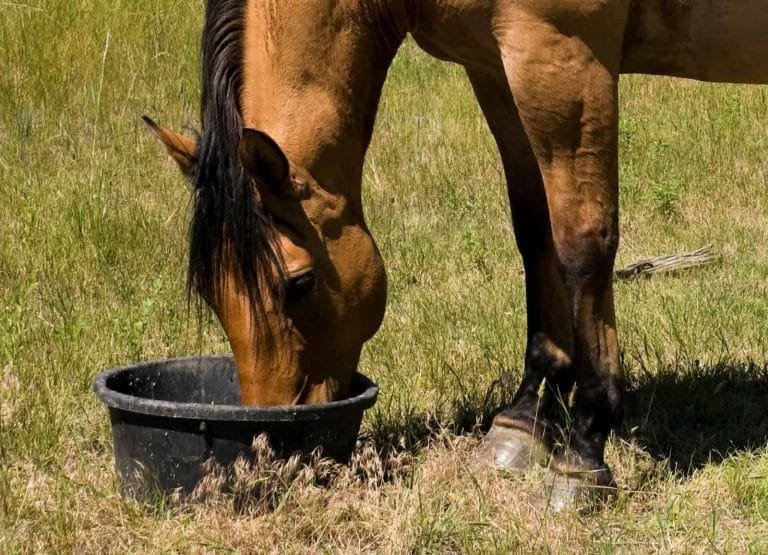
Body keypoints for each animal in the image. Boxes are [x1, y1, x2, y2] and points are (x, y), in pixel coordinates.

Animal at [145, 0, 768, 508]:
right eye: (211, 294)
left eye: (297, 283)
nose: (275, 449)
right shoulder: (497, 69)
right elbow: (535, 233)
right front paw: (525, 420)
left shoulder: (564, 62)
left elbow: (582, 245)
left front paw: (585, 449)